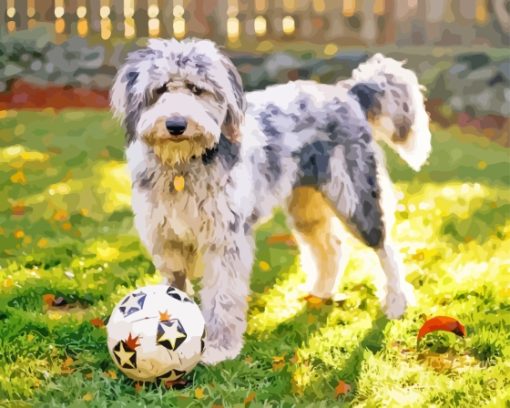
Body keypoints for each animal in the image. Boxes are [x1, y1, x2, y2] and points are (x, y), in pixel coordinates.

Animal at [110, 37, 430, 364]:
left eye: (197, 89)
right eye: (160, 89)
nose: (176, 125)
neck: (182, 166)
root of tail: (348, 92)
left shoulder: (226, 240)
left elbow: (223, 296)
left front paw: (219, 347)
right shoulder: (166, 240)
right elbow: (175, 288)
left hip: (356, 197)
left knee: (385, 247)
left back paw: (397, 302)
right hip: (306, 207)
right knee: (331, 247)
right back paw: (321, 291)